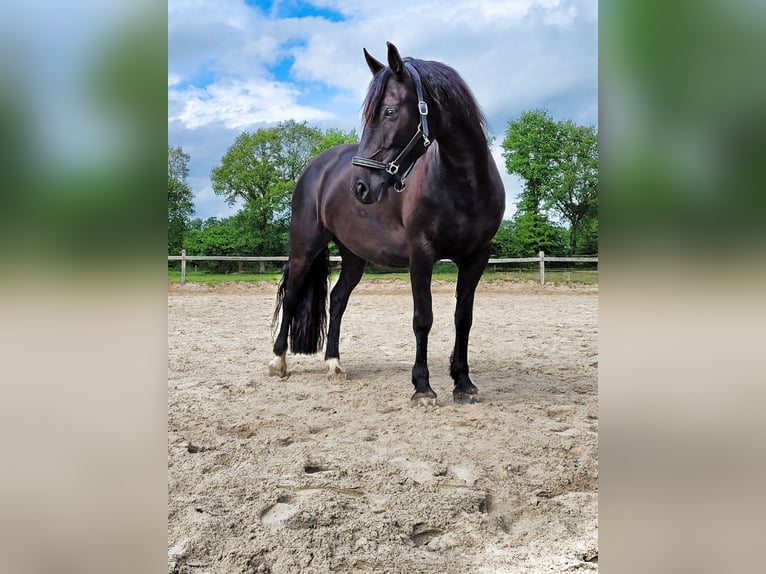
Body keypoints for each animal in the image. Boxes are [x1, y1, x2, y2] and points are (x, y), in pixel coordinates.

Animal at [272, 41, 508, 404]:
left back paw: (334, 363)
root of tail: (317, 167)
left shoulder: (476, 257)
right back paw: (278, 361)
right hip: (304, 248)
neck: (463, 183)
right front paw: (422, 387)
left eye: (390, 112)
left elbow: (463, 318)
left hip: (354, 256)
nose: (360, 186)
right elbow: (423, 318)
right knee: (292, 294)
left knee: (338, 299)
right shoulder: (421, 254)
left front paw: (463, 383)